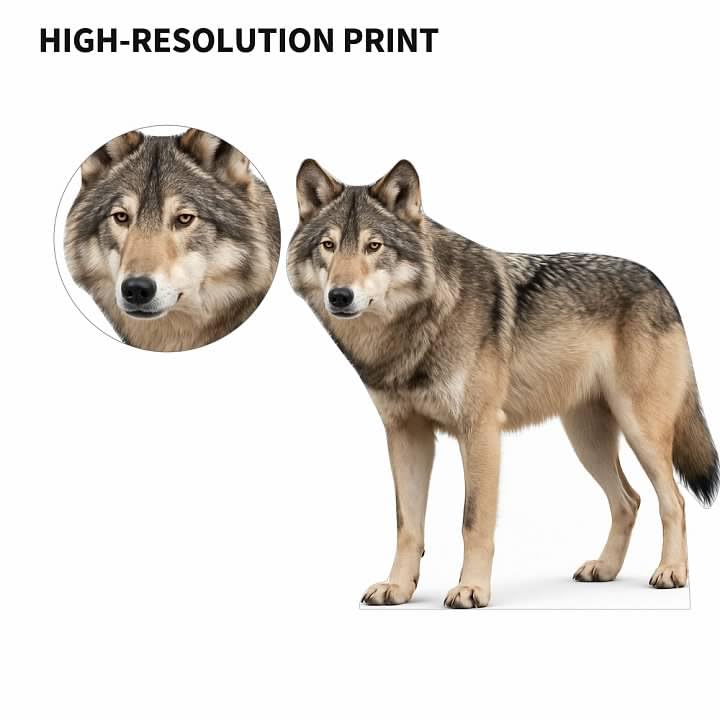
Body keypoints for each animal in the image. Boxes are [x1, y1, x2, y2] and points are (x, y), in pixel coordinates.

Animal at [287, 158, 717, 608]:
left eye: (374, 246)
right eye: (328, 245)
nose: (340, 296)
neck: (419, 325)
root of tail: (660, 283)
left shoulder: (479, 432)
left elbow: (473, 521)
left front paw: (471, 589)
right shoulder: (405, 435)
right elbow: (407, 526)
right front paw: (399, 588)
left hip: (640, 432)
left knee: (674, 500)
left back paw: (671, 571)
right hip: (587, 440)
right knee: (629, 501)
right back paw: (605, 569)